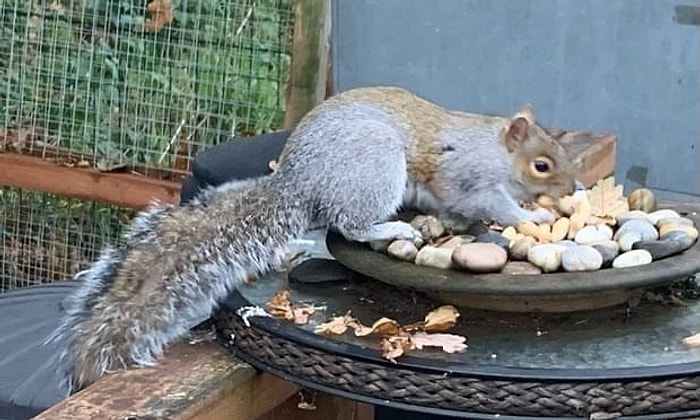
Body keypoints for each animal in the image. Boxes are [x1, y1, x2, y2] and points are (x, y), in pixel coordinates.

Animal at [46, 85, 576, 394]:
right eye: (542, 164)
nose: (572, 189)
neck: (496, 152)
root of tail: (299, 183)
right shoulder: (469, 176)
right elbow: (489, 203)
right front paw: (530, 215)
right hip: (373, 168)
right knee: (351, 224)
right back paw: (392, 226)